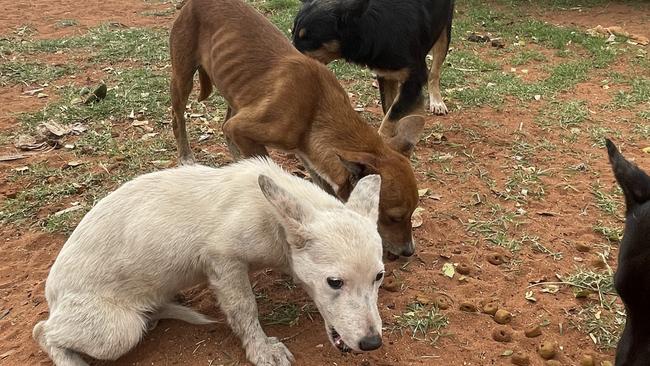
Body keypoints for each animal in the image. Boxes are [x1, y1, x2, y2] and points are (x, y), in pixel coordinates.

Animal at [33, 158, 384, 366]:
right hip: (117, 332)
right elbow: (244, 309)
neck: (271, 218)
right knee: (43, 332)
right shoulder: (222, 260)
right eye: (334, 282)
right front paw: (261, 350)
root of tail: (53, 296)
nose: (372, 343)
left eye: (378, 277)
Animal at [170, 0, 426, 256]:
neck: (315, 108)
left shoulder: (309, 155)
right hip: (182, 78)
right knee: (178, 118)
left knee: (224, 124)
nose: (409, 251)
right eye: (394, 217)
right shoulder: (244, 129)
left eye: (413, 212)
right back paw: (186, 155)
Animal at [292, 0, 450, 137]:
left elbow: (392, 115)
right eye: (293, 32)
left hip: (444, 33)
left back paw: (437, 101)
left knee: (434, 72)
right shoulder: (386, 74)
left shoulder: (414, 77)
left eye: (308, 38)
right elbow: (388, 109)